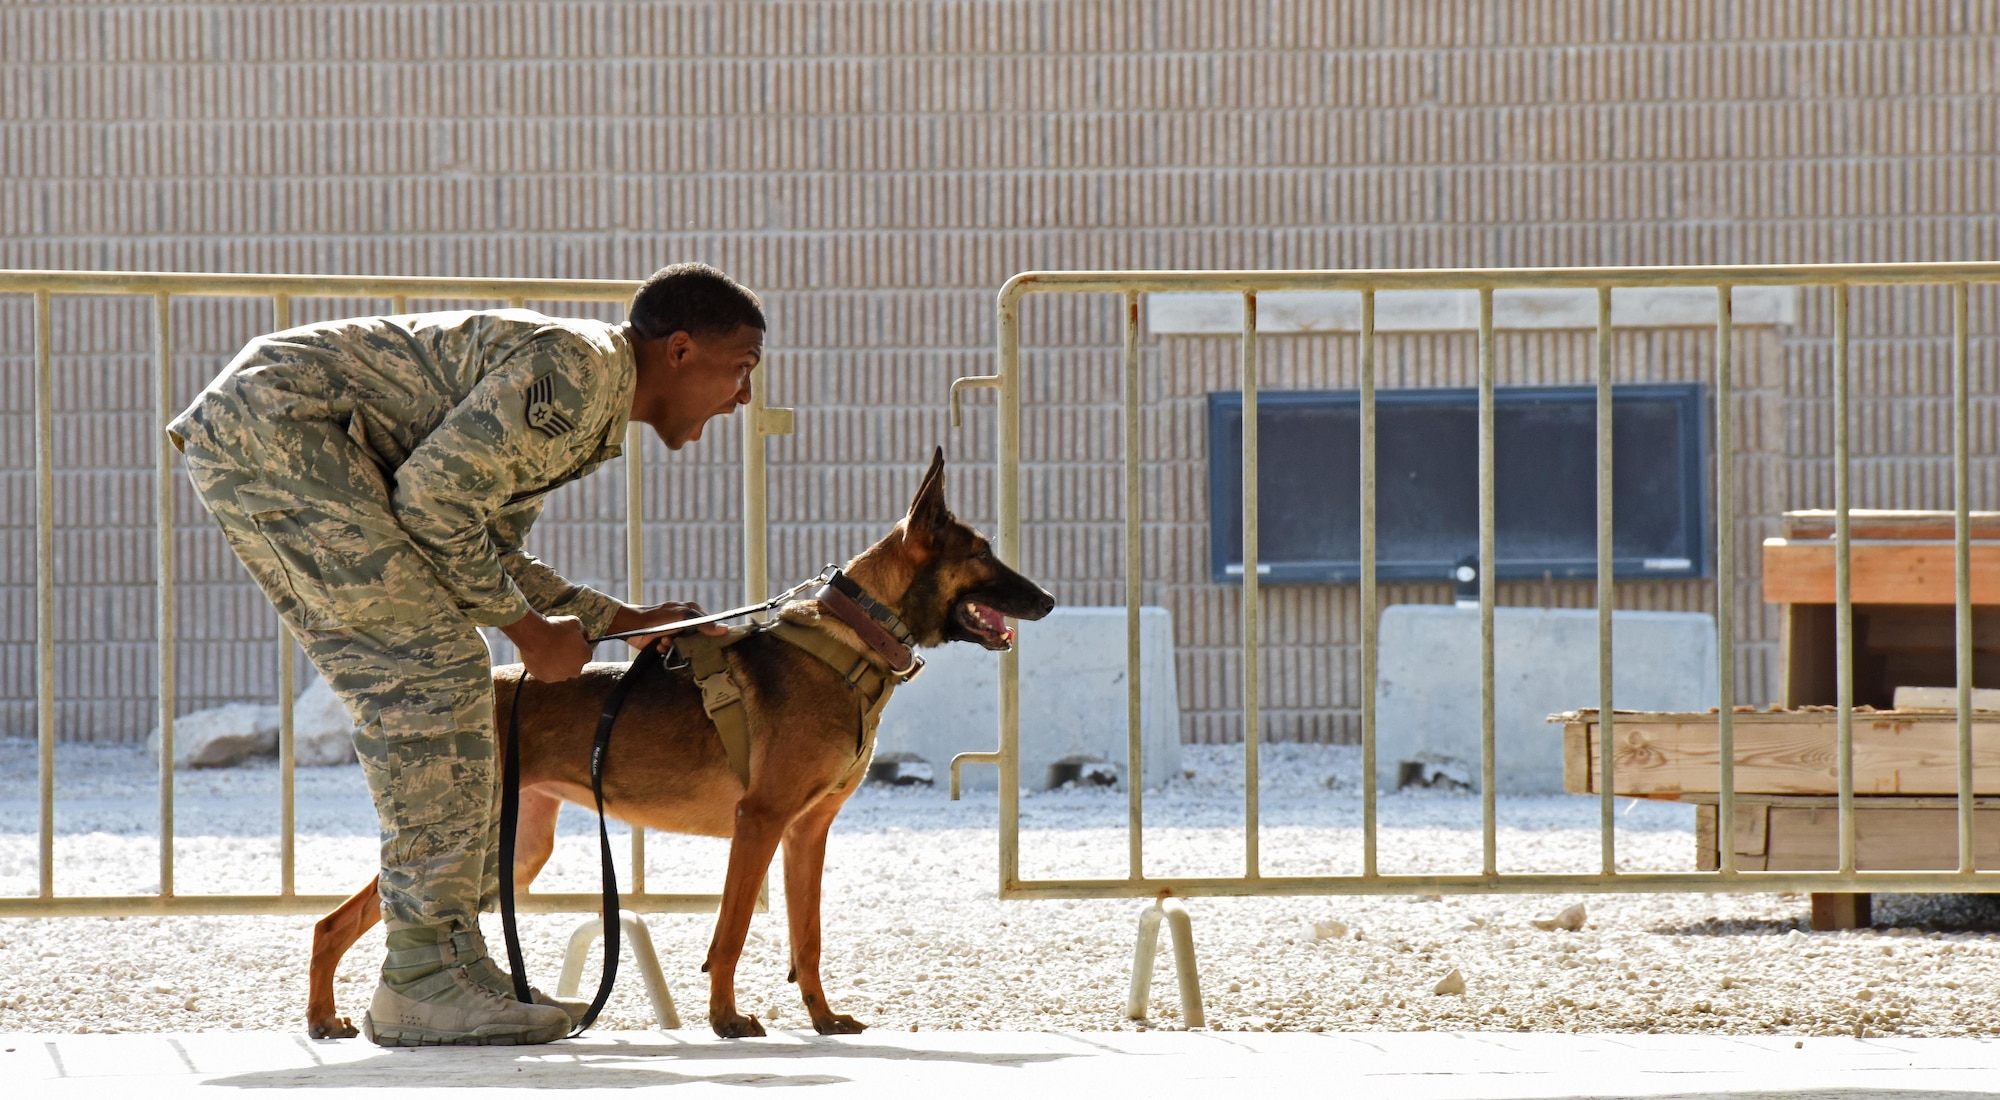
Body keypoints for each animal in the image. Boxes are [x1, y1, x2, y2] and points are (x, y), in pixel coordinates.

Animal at [304, 452, 1056, 1048]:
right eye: (981, 553)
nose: (1048, 599)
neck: (851, 642)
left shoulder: (806, 834)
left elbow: (807, 939)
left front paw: (822, 1019)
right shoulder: (760, 823)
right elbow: (730, 934)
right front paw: (725, 1020)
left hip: (512, 853)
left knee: (348, 920)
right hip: (480, 836)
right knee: (344, 919)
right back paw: (344, 1017)